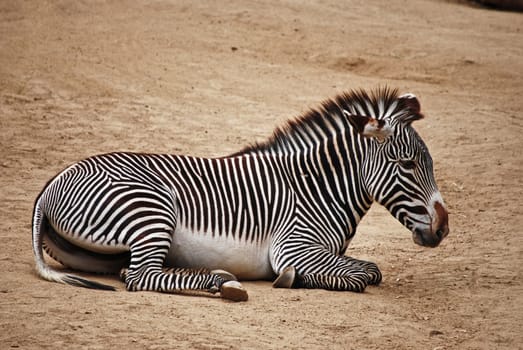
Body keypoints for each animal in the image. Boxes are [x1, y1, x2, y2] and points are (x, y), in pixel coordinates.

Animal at [31, 87, 450, 300]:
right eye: (408, 165)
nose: (443, 228)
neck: (319, 187)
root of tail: (51, 185)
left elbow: (369, 270)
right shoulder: (293, 247)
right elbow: (365, 274)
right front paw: (291, 279)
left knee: (128, 270)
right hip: (151, 208)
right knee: (140, 276)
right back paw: (221, 283)